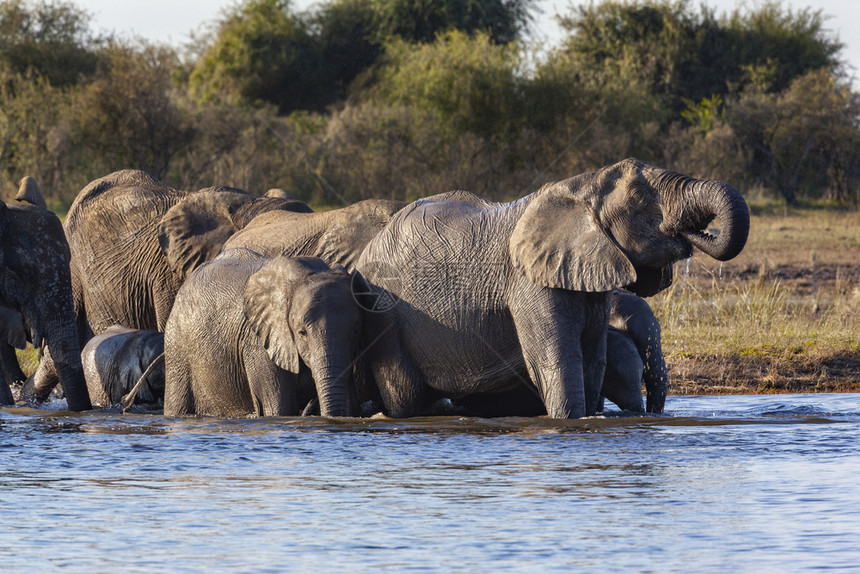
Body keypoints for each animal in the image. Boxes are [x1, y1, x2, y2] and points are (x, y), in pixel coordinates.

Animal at [165, 252, 362, 418]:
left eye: (356, 331)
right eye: (302, 333)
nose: (312, 406)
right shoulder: (258, 344)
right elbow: (279, 408)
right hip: (176, 346)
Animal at [354, 158, 744, 418]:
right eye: (637, 198)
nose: (694, 233)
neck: (580, 186)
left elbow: (593, 360)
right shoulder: (528, 283)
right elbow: (557, 358)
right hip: (384, 315)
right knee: (404, 395)